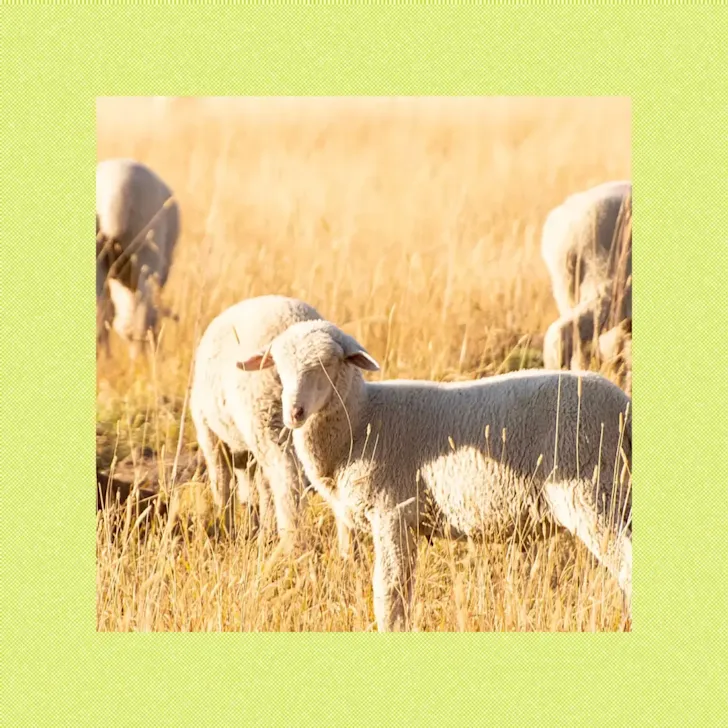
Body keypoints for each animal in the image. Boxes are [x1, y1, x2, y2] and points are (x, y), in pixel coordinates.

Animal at [190, 295, 324, 546]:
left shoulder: (210, 435)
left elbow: (221, 484)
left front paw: (226, 527)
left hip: (266, 418)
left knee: (286, 481)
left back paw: (290, 540)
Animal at [238, 320, 633, 631]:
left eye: (327, 364)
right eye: (278, 368)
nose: (294, 412)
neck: (362, 421)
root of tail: (623, 404)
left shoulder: (392, 510)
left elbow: (389, 594)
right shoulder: (406, 520)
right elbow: (401, 590)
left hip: (591, 491)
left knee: (626, 563)